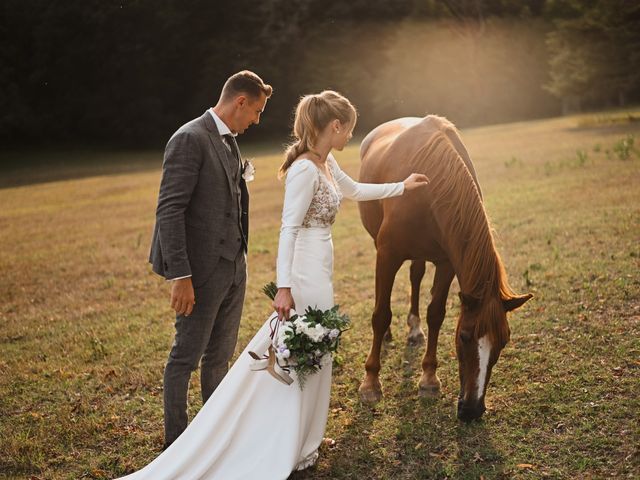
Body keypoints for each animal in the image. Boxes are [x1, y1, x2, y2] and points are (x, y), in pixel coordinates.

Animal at [358, 115, 532, 420]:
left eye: (504, 341)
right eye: (464, 336)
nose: (473, 410)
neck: (429, 188)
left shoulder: (447, 262)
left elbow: (436, 314)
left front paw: (429, 379)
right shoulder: (387, 255)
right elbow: (380, 315)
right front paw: (370, 383)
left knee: (416, 277)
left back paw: (414, 329)